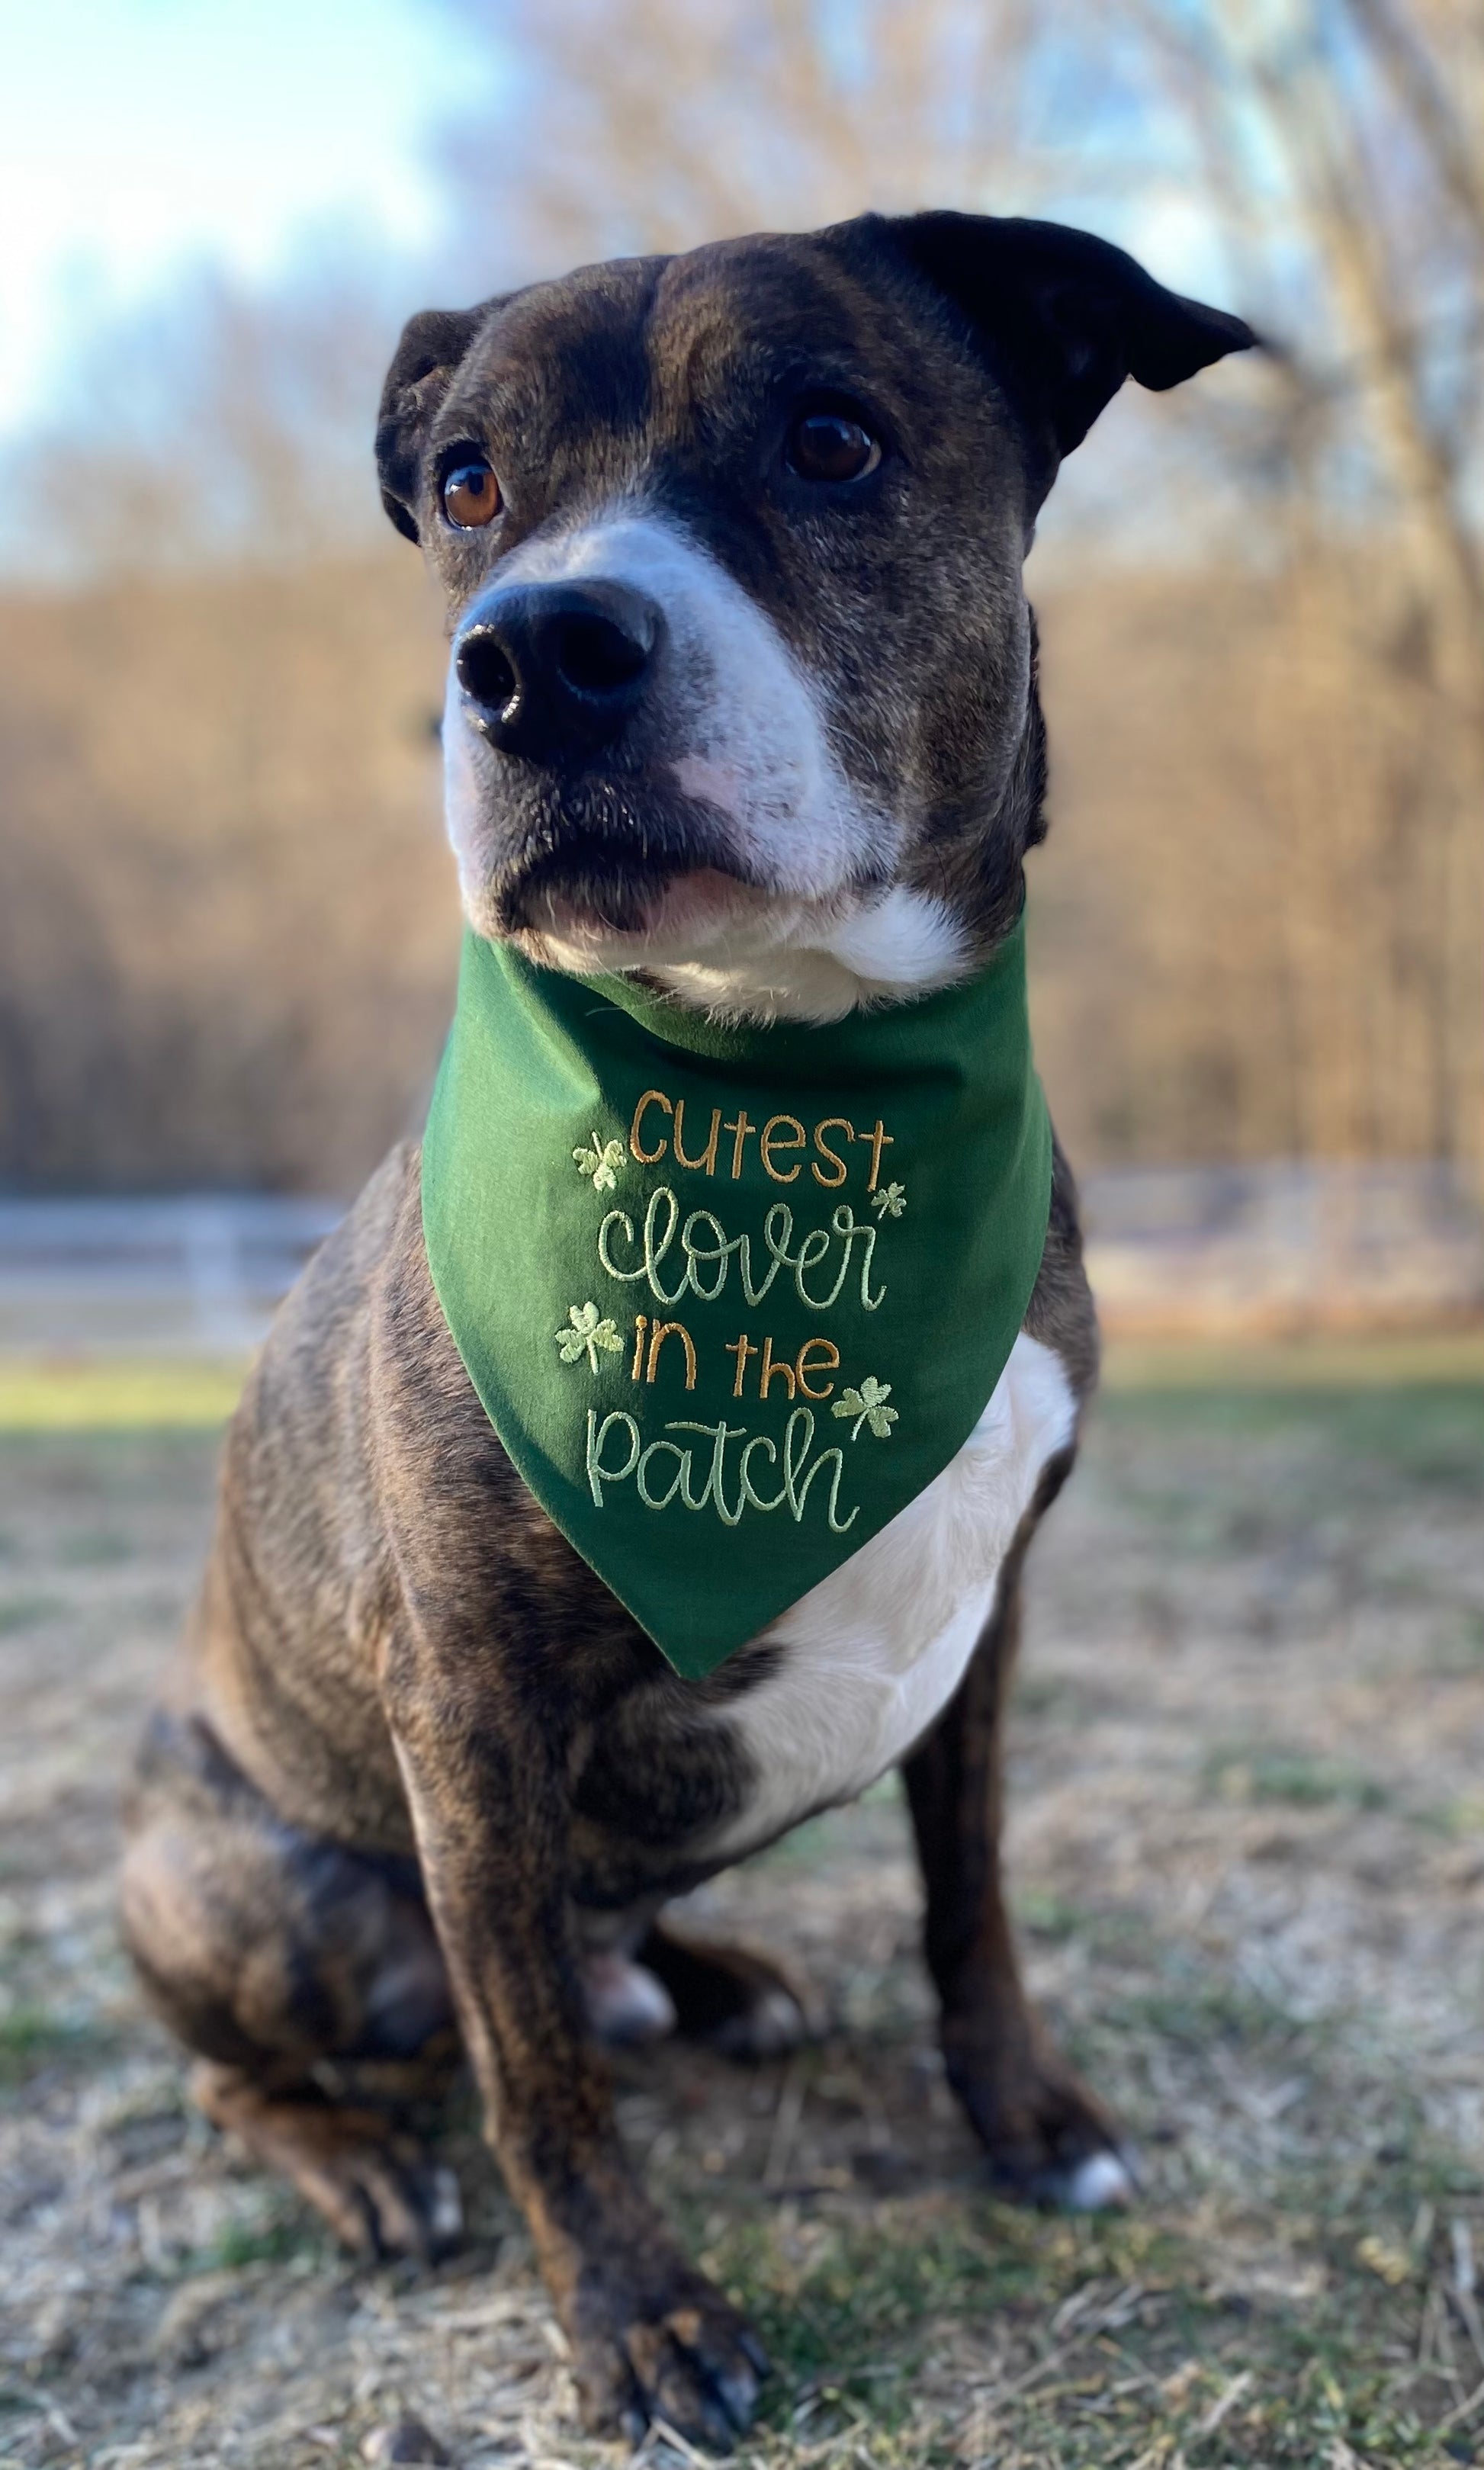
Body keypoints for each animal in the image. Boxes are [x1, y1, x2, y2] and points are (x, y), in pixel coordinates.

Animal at [121, 217, 1249, 2450]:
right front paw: (638, 2319)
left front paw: (1026, 2115)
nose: (535, 655)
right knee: (288, 2050)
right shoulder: (466, 1703)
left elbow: (970, 1902)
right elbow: (538, 2072)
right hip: (258, 1879)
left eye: (831, 439)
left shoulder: (992, 1620)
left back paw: (718, 1978)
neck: (795, 1076)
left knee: (605, 1957)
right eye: (466, 483)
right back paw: (356, 2154)